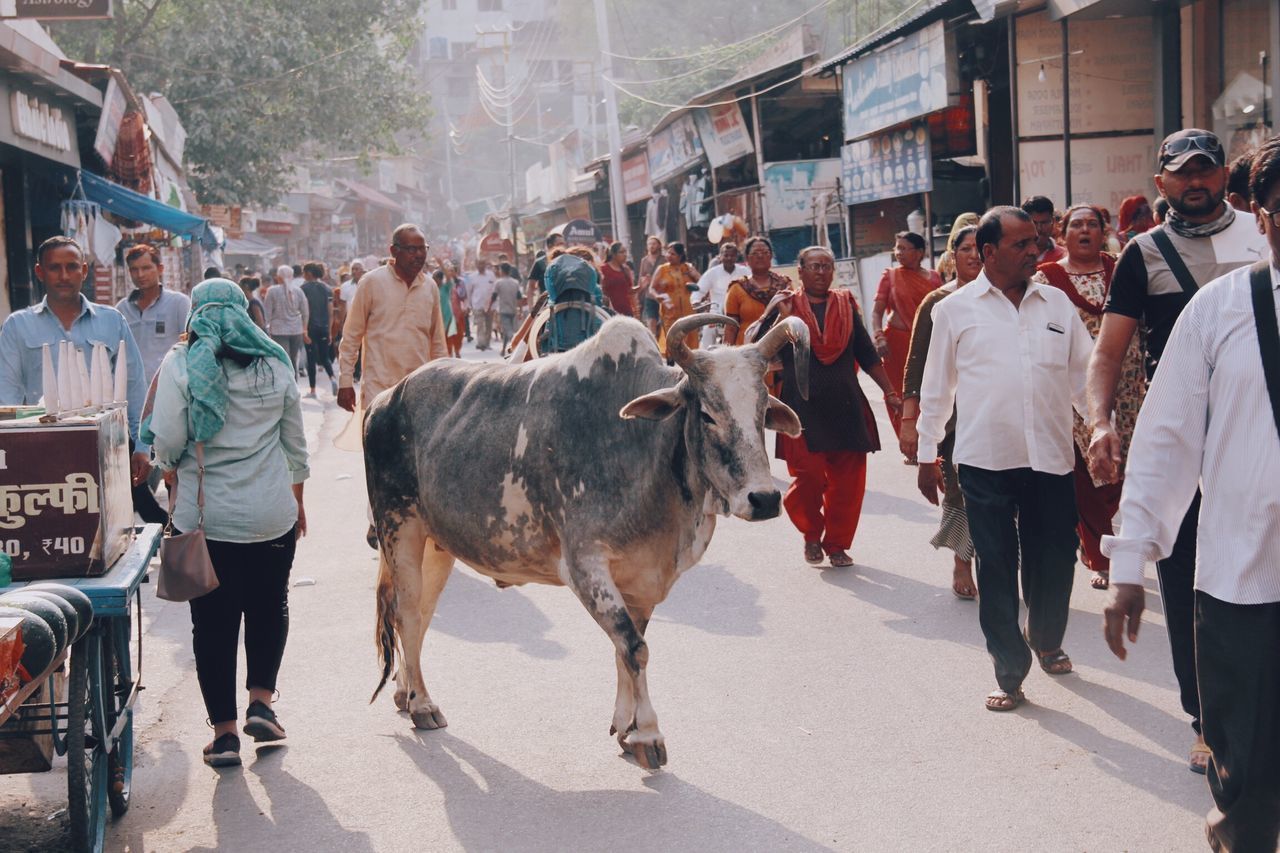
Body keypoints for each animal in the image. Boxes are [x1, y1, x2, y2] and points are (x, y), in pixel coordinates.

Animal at [366, 311, 803, 763]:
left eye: (763, 410)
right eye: (707, 414)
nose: (764, 498)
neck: (641, 446)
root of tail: (386, 398)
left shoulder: (640, 579)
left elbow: (626, 649)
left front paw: (626, 728)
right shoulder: (585, 566)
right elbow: (634, 648)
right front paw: (649, 735)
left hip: (437, 546)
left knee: (417, 616)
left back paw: (405, 694)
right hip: (399, 529)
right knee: (407, 613)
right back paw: (421, 704)